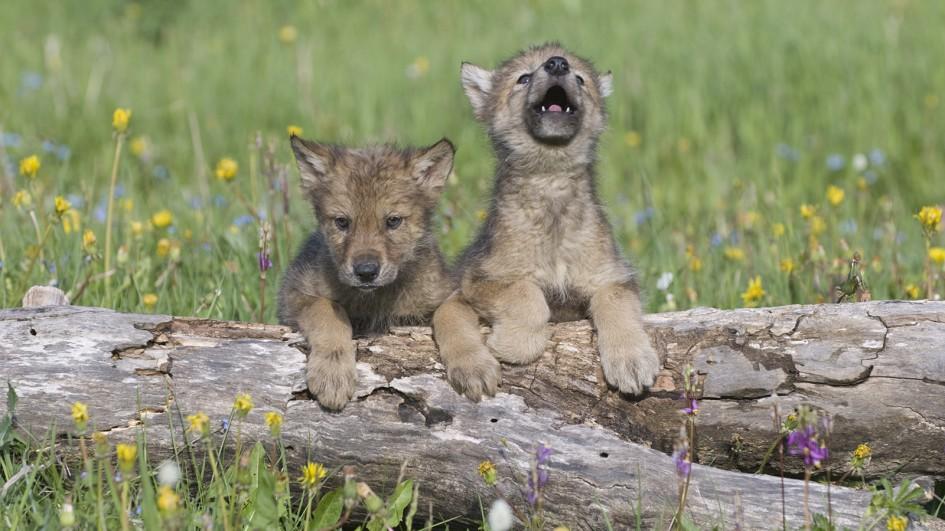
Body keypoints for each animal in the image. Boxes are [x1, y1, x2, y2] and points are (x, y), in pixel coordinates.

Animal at [279, 136, 456, 410]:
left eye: (393, 221)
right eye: (342, 222)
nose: (366, 272)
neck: (375, 300)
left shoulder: (441, 294)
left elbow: (452, 311)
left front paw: (475, 366)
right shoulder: (294, 294)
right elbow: (327, 309)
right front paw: (332, 373)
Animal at [433, 44, 661, 400]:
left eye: (580, 78)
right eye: (523, 78)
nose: (557, 64)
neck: (551, 185)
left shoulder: (613, 277)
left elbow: (616, 304)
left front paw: (632, 360)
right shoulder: (484, 279)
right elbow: (526, 294)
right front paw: (515, 345)